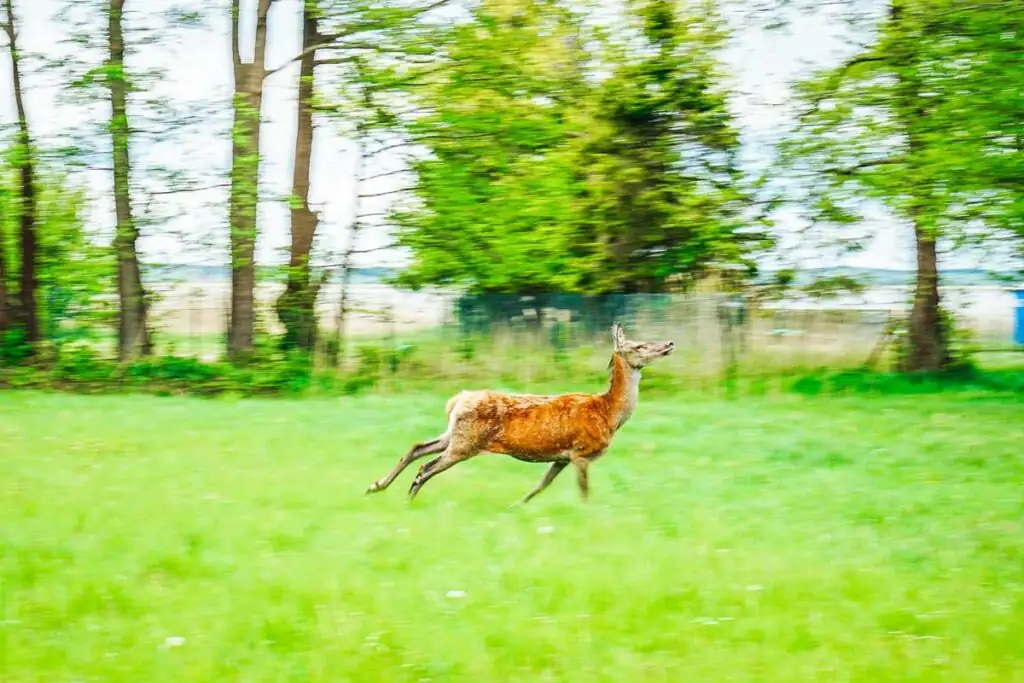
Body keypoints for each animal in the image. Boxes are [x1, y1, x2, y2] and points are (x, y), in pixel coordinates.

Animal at [366, 323, 671, 505]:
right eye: (639, 345)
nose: (668, 344)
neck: (609, 413)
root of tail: (457, 400)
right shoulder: (581, 452)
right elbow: (583, 491)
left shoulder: (562, 457)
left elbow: (540, 485)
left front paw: (518, 505)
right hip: (465, 442)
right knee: (426, 467)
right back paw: (409, 497)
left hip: (454, 434)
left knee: (416, 448)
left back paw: (377, 486)